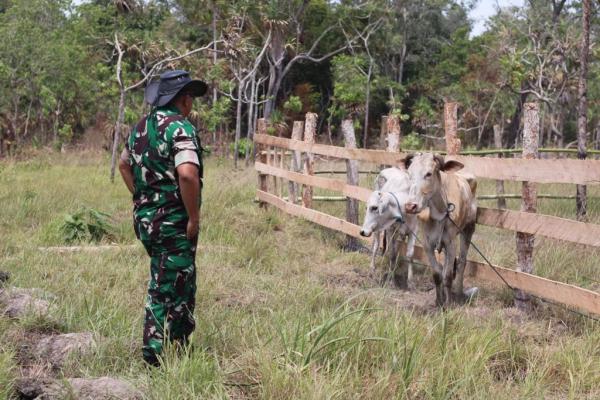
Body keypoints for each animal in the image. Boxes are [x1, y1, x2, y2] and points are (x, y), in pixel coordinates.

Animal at [398, 153, 478, 306]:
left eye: (429, 174)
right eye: (409, 174)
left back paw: (459, 293)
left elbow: (447, 275)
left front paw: (448, 303)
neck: (440, 213)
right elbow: (437, 273)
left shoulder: (451, 244)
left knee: (462, 262)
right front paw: (438, 300)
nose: (410, 206)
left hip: (469, 229)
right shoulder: (427, 244)